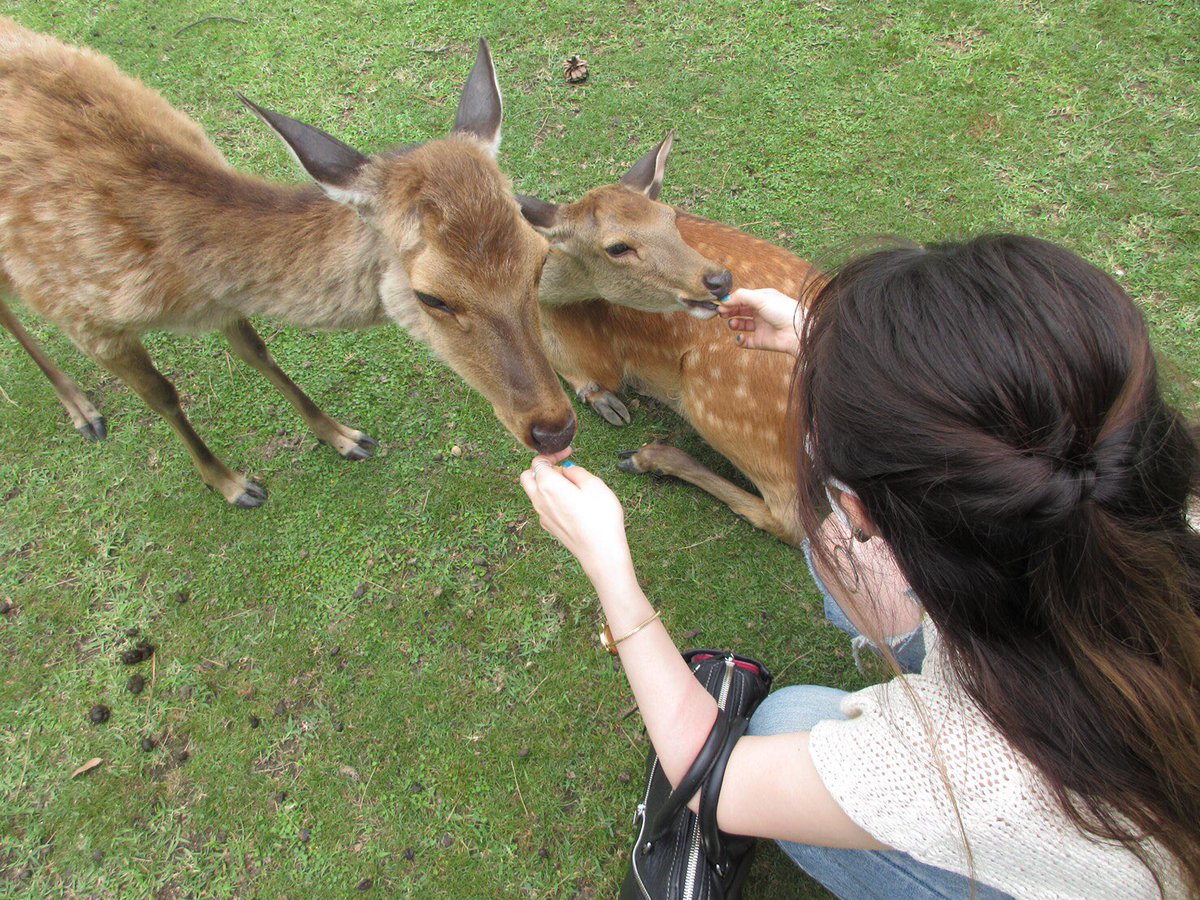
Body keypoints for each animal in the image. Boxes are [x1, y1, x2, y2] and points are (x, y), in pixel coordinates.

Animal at [0, 20, 575, 508]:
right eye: (432, 296)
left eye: (539, 260)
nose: (554, 428)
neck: (180, 283)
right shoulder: (86, 320)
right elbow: (163, 396)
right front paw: (234, 485)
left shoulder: (224, 302)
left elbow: (256, 351)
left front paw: (343, 436)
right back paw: (83, 411)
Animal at [518, 133, 819, 547]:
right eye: (617, 247)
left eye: (669, 217)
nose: (719, 280)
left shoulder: (595, 351)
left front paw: (601, 399)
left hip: (716, 396)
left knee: (790, 519)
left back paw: (650, 458)